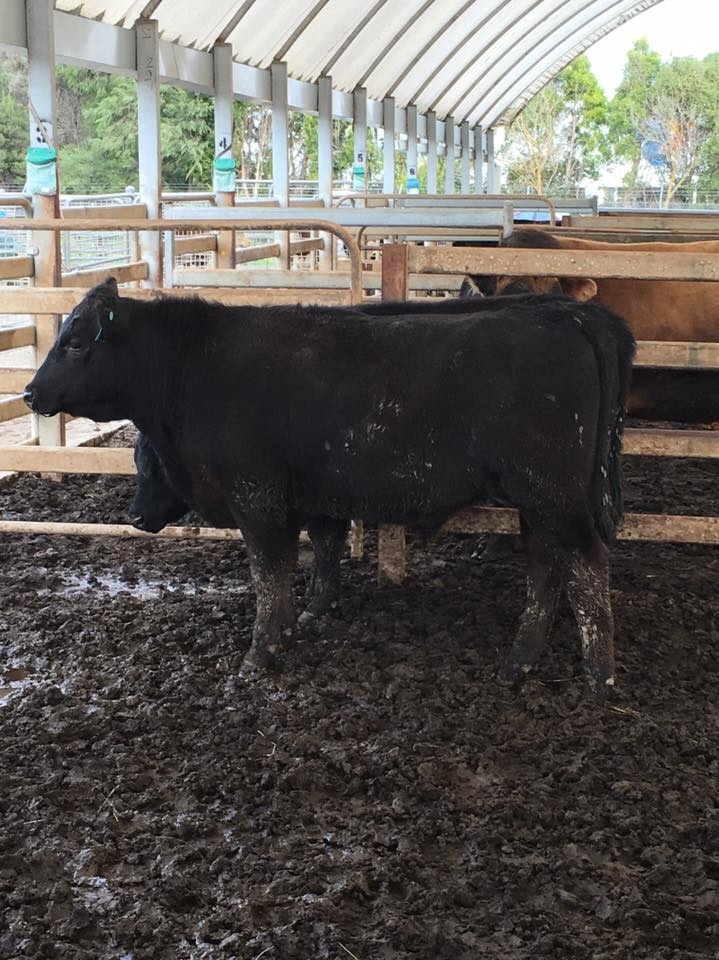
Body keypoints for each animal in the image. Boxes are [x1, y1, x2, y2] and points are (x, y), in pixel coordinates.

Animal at [25, 278, 636, 696]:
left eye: (75, 341)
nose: (29, 393)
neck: (195, 368)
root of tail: (570, 314)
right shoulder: (315, 493)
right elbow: (321, 551)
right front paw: (308, 619)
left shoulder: (258, 498)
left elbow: (270, 574)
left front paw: (263, 650)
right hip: (540, 499)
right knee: (546, 565)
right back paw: (519, 661)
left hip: (553, 493)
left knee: (586, 563)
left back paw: (599, 676)